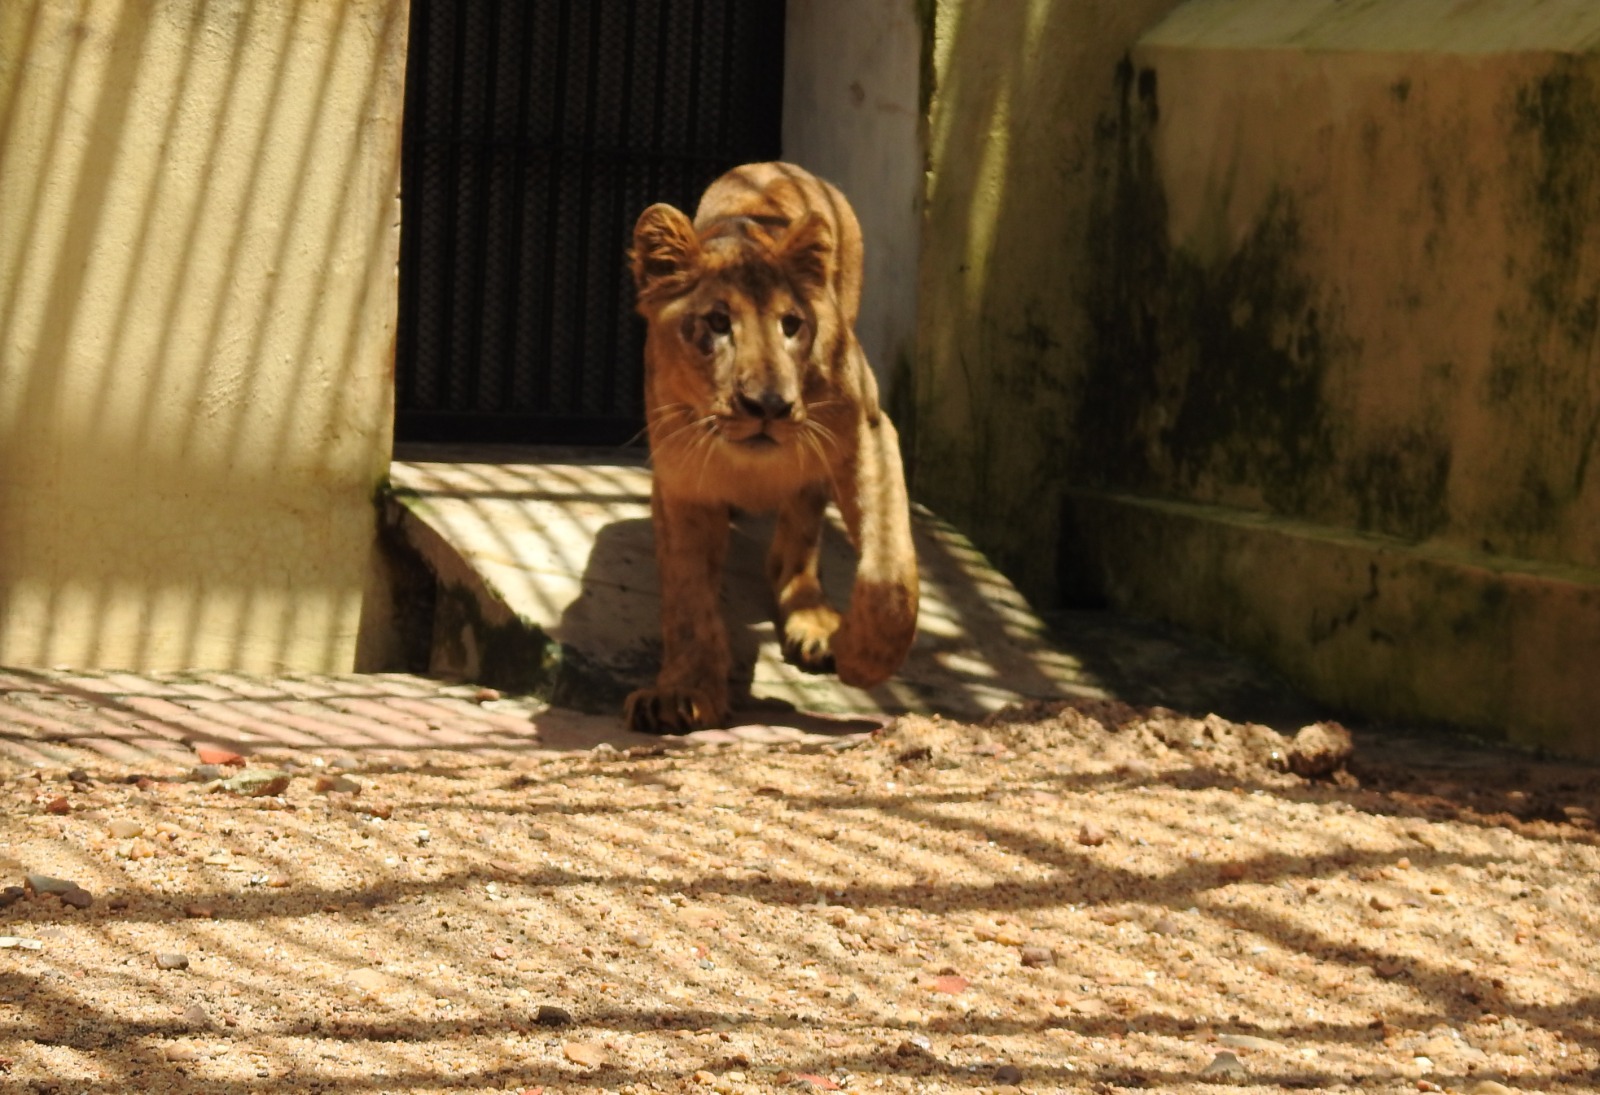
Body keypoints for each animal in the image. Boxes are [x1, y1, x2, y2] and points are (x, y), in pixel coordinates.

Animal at [627, 158, 921, 730]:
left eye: (792, 325)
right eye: (718, 322)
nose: (767, 405)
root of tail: (767, 165)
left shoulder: (868, 431)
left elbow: (890, 575)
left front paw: (861, 658)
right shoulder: (681, 478)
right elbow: (686, 594)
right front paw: (682, 692)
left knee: (801, 528)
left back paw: (813, 622)